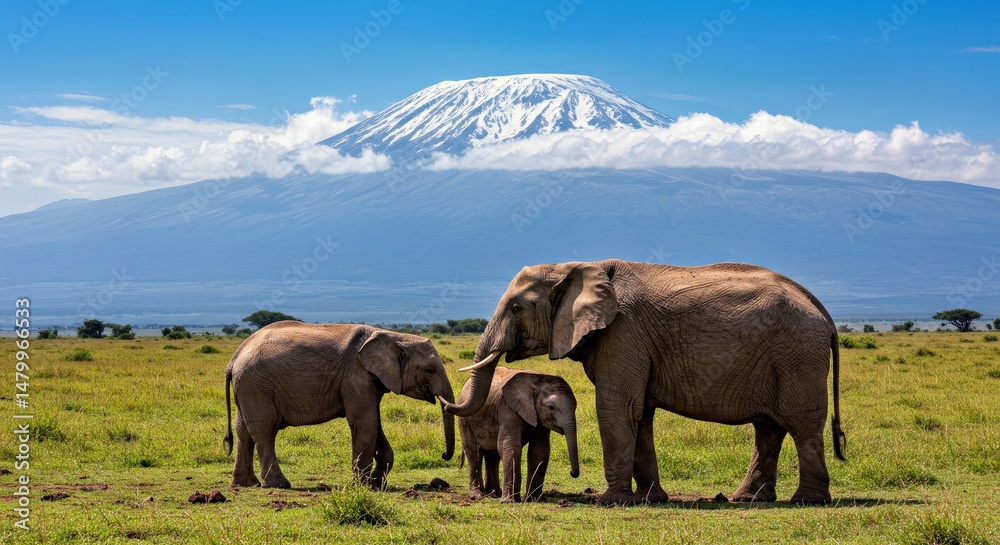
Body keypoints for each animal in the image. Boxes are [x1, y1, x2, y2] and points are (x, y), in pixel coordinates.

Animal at [223, 322, 455, 489]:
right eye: (430, 371)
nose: (444, 456)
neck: (393, 336)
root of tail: (234, 358)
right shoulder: (355, 376)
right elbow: (365, 422)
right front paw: (362, 486)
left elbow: (375, 424)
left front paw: (376, 484)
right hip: (256, 386)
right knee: (264, 430)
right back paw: (278, 484)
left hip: (248, 387)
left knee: (243, 431)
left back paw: (246, 484)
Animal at [457, 366, 580, 502]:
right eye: (551, 407)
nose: (571, 473)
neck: (538, 383)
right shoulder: (508, 409)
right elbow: (511, 446)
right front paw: (509, 501)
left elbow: (540, 450)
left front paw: (535, 499)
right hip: (465, 418)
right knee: (473, 451)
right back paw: (478, 496)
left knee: (493, 454)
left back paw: (495, 494)